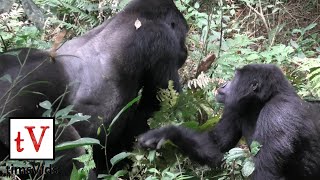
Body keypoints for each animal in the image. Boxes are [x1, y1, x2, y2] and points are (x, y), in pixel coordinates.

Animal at [139, 63, 320, 180]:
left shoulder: (278, 113)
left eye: (235, 79)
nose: (224, 84)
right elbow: (215, 144)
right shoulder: (234, 107)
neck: (262, 101)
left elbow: (265, 171)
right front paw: (167, 133)